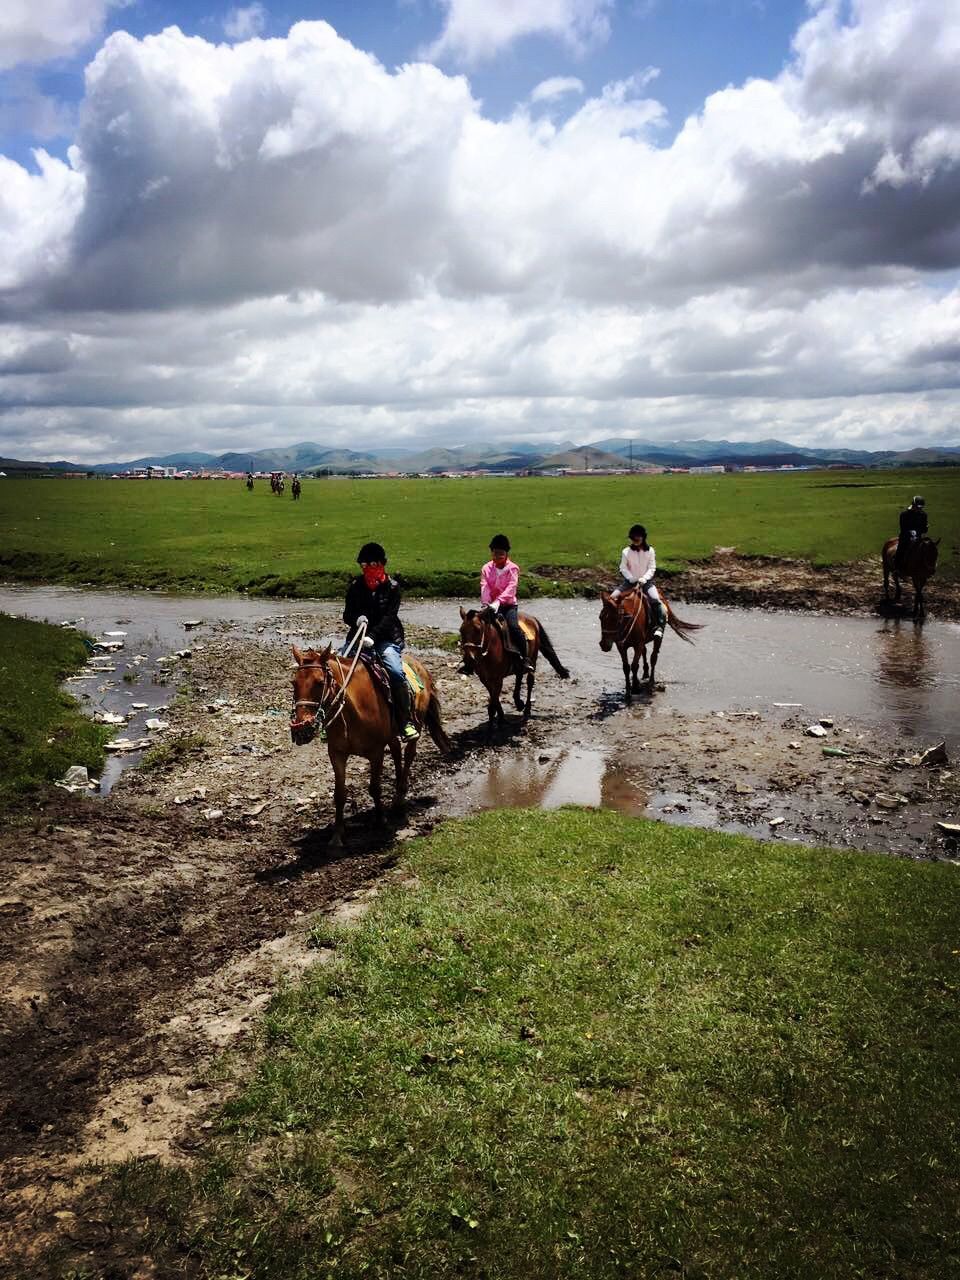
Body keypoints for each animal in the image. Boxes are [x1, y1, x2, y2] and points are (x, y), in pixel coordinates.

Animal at [289, 645, 450, 844]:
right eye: (293, 683)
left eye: (319, 682)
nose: (301, 729)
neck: (353, 709)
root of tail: (420, 666)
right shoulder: (337, 753)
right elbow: (339, 794)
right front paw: (337, 834)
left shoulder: (376, 752)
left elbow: (375, 788)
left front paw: (381, 821)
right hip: (392, 734)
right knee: (396, 752)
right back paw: (398, 793)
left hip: (417, 723)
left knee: (409, 755)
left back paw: (400, 797)